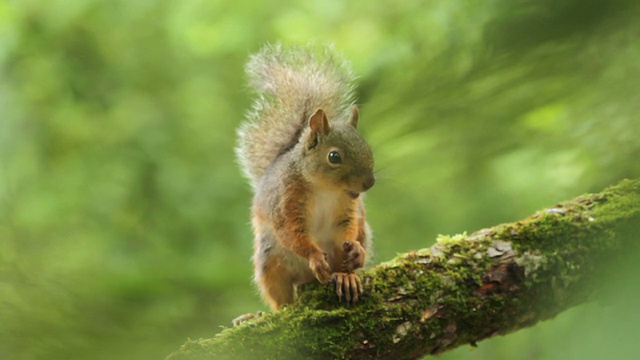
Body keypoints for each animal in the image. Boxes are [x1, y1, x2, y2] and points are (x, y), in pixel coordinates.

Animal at [235, 43, 376, 312]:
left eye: (368, 149)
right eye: (334, 156)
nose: (369, 183)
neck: (325, 188)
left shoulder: (347, 207)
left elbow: (347, 227)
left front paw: (354, 251)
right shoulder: (287, 199)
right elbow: (292, 231)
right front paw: (315, 257)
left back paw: (347, 275)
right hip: (270, 260)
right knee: (280, 295)